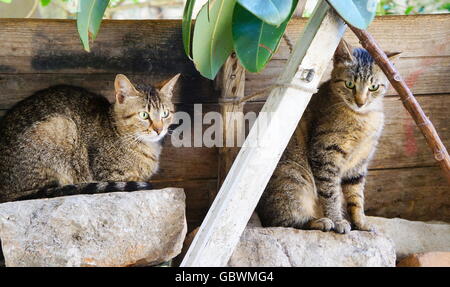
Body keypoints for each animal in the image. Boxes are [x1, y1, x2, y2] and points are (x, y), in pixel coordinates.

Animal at [256, 40, 400, 234]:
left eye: (373, 87)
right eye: (349, 84)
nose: (360, 102)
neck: (363, 117)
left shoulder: (359, 164)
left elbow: (356, 198)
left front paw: (361, 223)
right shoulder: (326, 154)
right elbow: (331, 193)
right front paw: (338, 220)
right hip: (293, 178)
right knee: (283, 220)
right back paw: (320, 221)